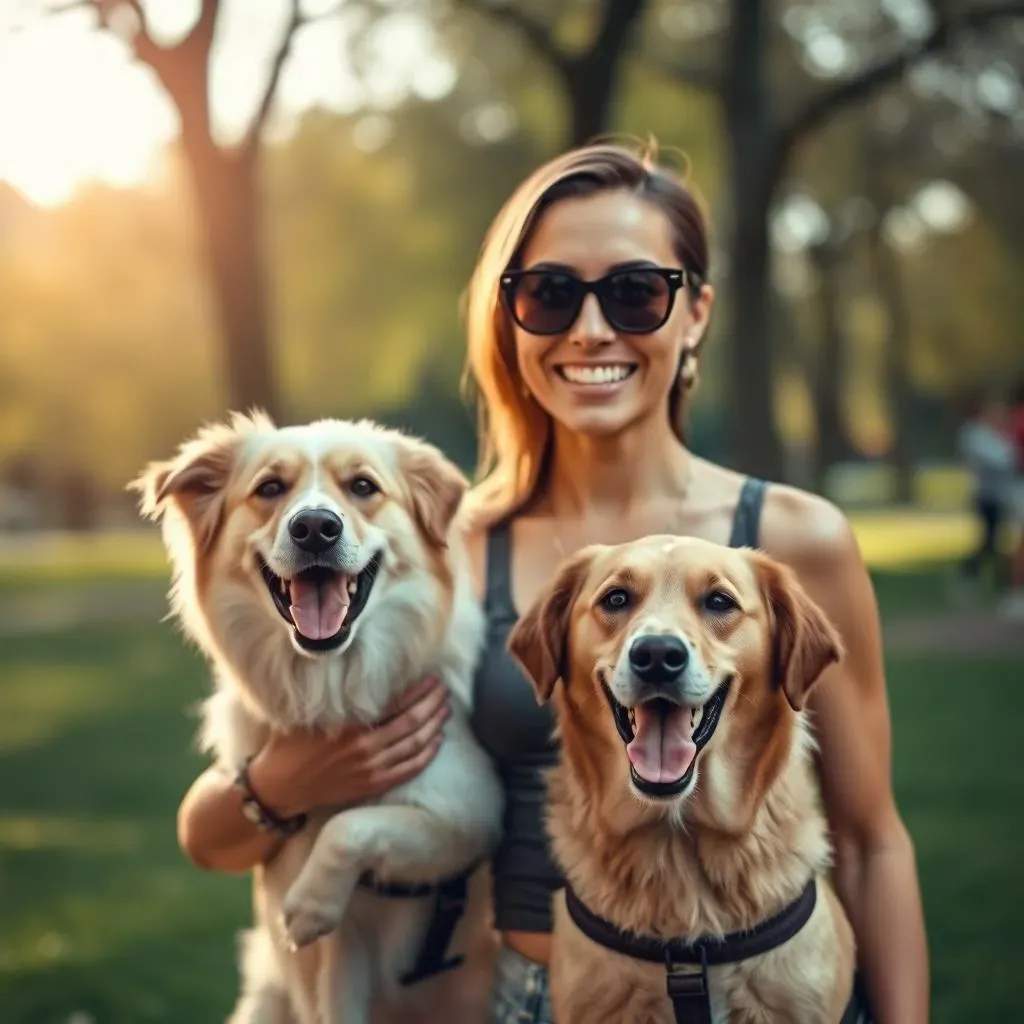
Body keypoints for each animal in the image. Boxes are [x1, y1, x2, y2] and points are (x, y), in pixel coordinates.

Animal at [134, 411, 501, 1024]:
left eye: (363, 486)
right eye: (270, 488)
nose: (314, 528)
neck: (333, 690)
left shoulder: (470, 815)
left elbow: (352, 825)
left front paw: (311, 902)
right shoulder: (328, 960)